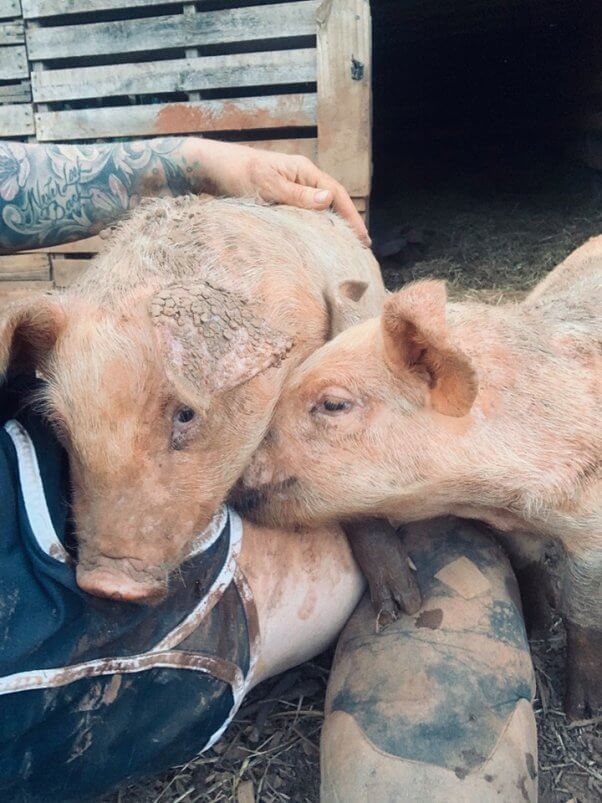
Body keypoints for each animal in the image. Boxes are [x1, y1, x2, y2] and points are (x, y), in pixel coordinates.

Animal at [237, 235, 602, 720]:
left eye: (333, 404)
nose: (232, 482)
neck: (496, 497)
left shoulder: (590, 526)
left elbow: (584, 612)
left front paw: (583, 711)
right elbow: (527, 564)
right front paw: (538, 626)